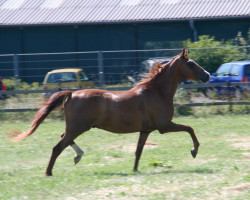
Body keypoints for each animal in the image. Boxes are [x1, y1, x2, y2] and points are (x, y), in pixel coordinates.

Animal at [12, 49, 210, 176]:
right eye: (191, 64)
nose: (207, 75)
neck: (156, 92)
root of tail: (71, 94)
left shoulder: (145, 130)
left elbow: (138, 151)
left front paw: (135, 170)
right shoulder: (164, 126)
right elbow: (190, 128)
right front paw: (194, 151)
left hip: (76, 128)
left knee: (63, 139)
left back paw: (77, 156)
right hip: (78, 128)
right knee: (57, 147)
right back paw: (49, 172)